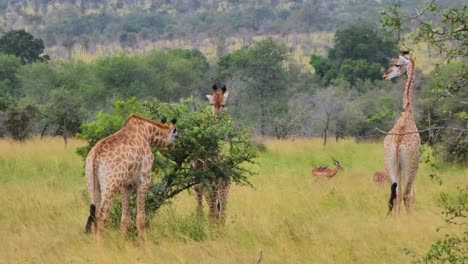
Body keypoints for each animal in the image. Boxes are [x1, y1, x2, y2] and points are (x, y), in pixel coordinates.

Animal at [84, 114, 177, 242]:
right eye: (176, 135)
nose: (173, 147)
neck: (147, 133)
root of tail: (95, 156)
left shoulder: (125, 185)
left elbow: (125, 219)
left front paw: (123, 244)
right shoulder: (144, 179)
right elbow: (141, 218)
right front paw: (143, 244)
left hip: (92, 183)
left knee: (95, 214)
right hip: (111, 184)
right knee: (102, 215)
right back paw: (101, 246)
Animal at [193, 83, 231, 224]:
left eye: (223, 105)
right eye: (211, 103)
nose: (217, 117)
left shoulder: (218, 178)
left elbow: (216, 205)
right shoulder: (206, 176)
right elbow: (208, 203)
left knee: (220, 207)